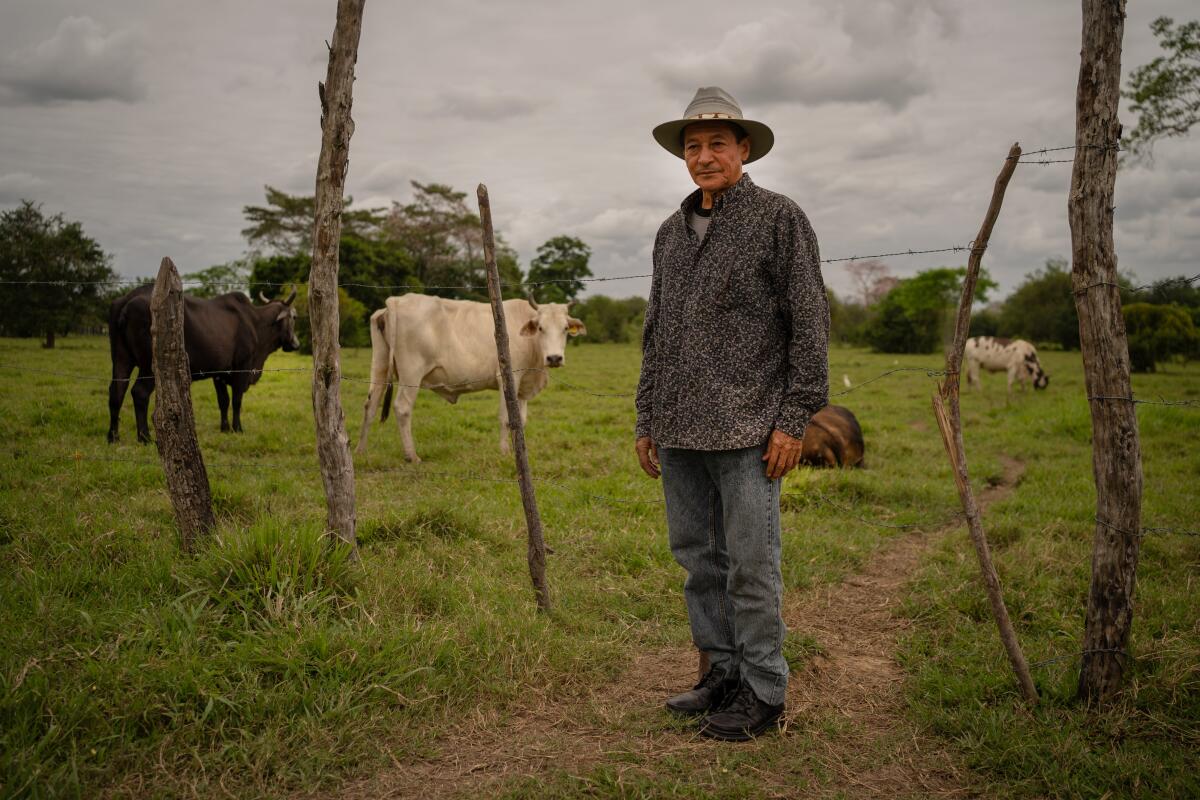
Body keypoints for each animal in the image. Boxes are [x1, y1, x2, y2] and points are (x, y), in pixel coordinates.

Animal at [108, 284, 300, 441]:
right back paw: (144, 436)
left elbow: (223, 401)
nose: (296, 344)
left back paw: (113, 436)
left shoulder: (219, 373)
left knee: (116, 391)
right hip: (150, 367)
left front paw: (225, 428)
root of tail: (128, 299)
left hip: (121, 359)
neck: (256, 322)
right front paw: (238, 428)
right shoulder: (242, 368)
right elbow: (237, 401)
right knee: (139, 392)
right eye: (294, 317)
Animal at [352, 293, 583, 460]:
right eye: (541, 328)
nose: (554, 358)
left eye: (565, 328)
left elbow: (521, 420)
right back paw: (411, 456)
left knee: (370, 405)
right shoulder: (508, 378)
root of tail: (396, 300)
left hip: (380, 365)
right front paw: (505, 452)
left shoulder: (524, 385)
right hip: (412, 373)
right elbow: (506, 419)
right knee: (402, 408)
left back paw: (361, 451)